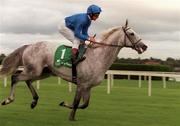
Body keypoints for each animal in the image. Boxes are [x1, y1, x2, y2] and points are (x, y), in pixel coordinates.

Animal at [0, 20, 146, 120]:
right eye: (132, 33)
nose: (144, 46)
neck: (97, 56)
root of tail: (29, 45)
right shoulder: (81, 84)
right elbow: (76, 102)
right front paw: (71, 116)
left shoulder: (88, 86)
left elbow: (84, 104)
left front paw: (64, 104)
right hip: (34, 70)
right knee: (15, 77)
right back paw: (8, 100)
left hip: (43, 72)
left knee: (26, 80)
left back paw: (34, 101)